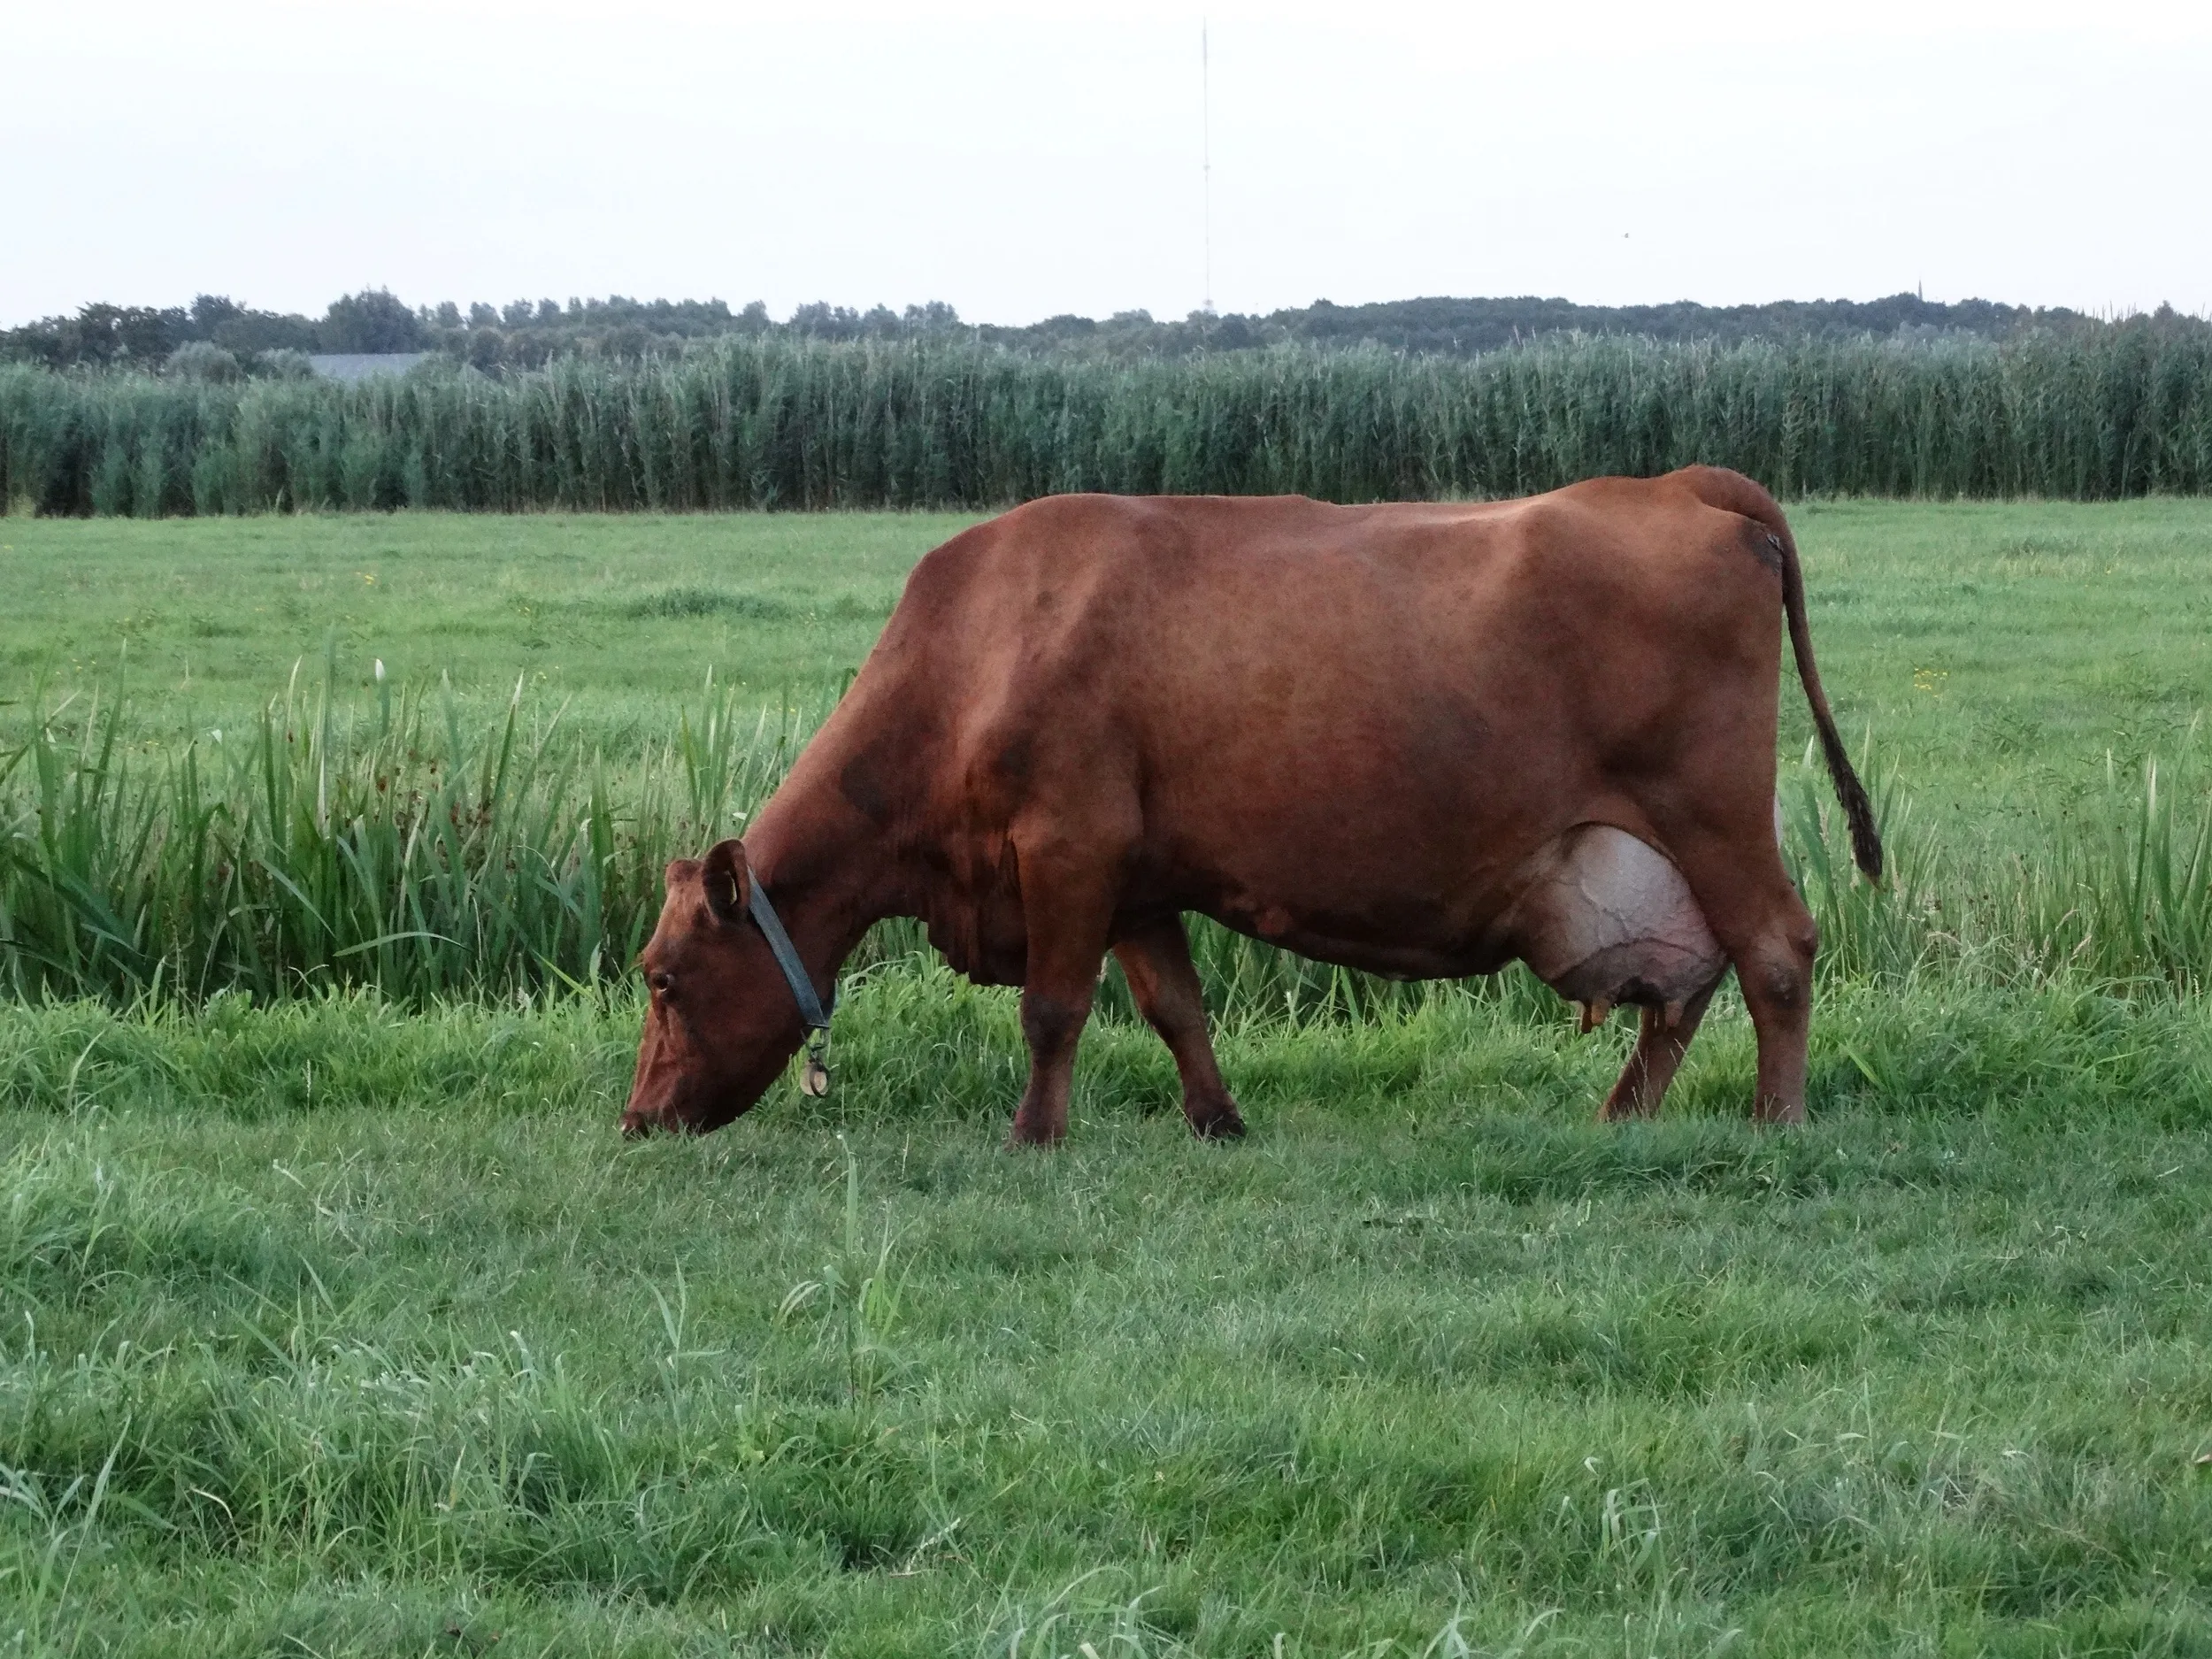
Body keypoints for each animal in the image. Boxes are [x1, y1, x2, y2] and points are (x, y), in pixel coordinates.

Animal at [624, 465, 1885, 1141]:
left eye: (661, 978)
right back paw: (1620, 1118)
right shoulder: (1134, 875)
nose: (637, 1119)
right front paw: (1218, 1122)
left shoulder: (1066, 847)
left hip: (1712, 811)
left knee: (1774, 953)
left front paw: (1033, 1136)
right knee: (1687, 984)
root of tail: (1677, 486)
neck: (975, 653)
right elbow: (1175, 1008)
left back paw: (1777, 1123)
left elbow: (1053, 1010)